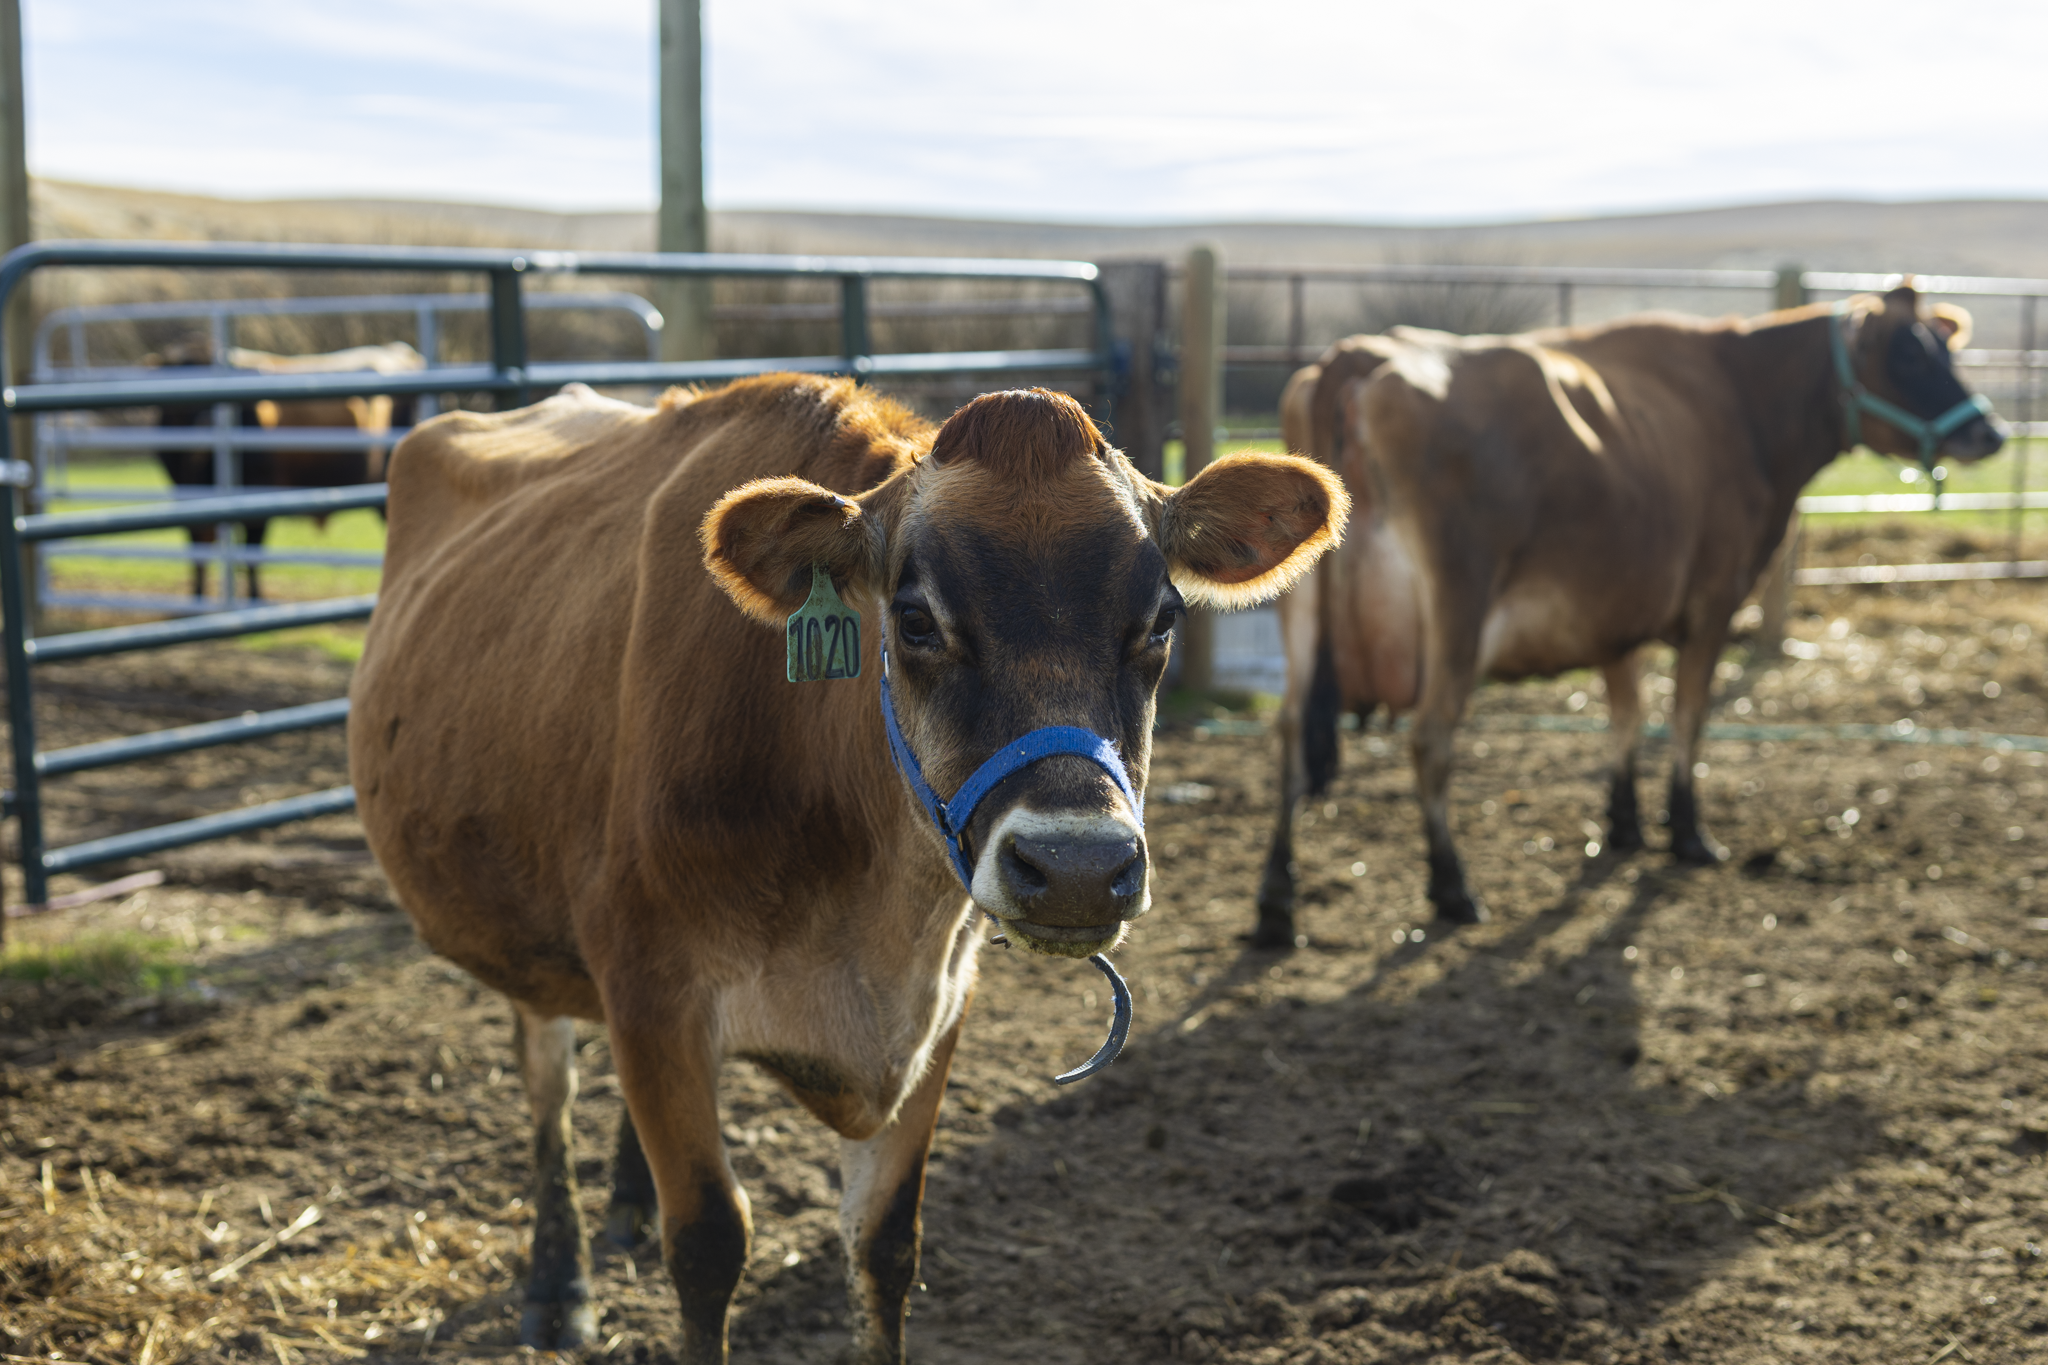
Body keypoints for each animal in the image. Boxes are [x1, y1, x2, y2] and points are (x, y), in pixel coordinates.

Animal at [152, 341, 424, 599]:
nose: (204, 423)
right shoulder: (186, 498)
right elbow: (198, 555)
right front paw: (196, 597)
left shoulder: (258, 499)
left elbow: (251, 555)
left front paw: (255, 597)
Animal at [348, 375, 1347, 1362]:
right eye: (915, 619)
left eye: (1162, 620)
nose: (1075, 865)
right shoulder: (653, 992)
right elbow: (708, 1242)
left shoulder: (939, 999)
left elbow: (884, 1241)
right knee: (547, 1078)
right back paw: (559, 1282)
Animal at [1252, 283, 2002, 946]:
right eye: (1909, 355)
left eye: (1943, 345)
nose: (1989, 432)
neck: (1744, 406)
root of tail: (1360, 352)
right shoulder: (1712, 603)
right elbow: (1688, 718)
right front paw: (1688, 832)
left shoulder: (1616, 612)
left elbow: (1626, 713)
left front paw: (1623, 825)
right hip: (1457, 607)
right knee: (1430, 738)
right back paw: (1451, 885)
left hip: (1303, 614)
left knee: (1288, 736)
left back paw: (1276, 905)